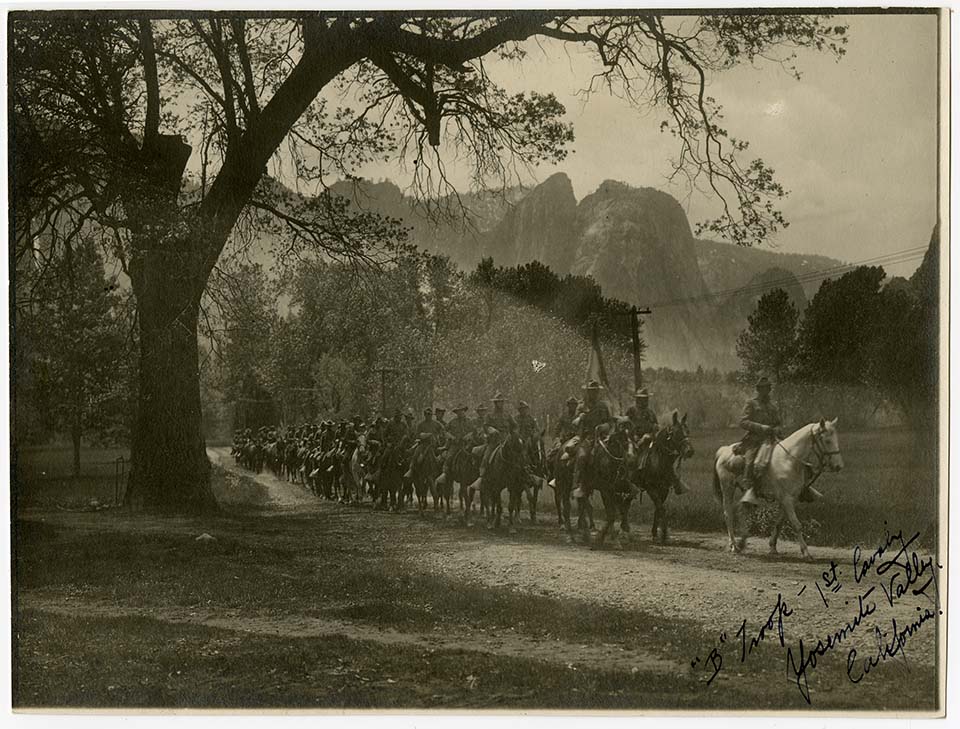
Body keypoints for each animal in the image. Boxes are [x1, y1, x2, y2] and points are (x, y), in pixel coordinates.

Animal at [712, 416, 840, 556]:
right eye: (827, 441)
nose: (838, 466)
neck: (788, 460)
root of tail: (724, 450)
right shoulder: (786, 499)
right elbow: (796, 524)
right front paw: (806, 551)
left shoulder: (790, 499)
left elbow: (779, 523)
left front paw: (773, 547)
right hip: (727, 488)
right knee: (728, 514)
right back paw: (734, 545)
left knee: (741, 510)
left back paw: (742, 541)